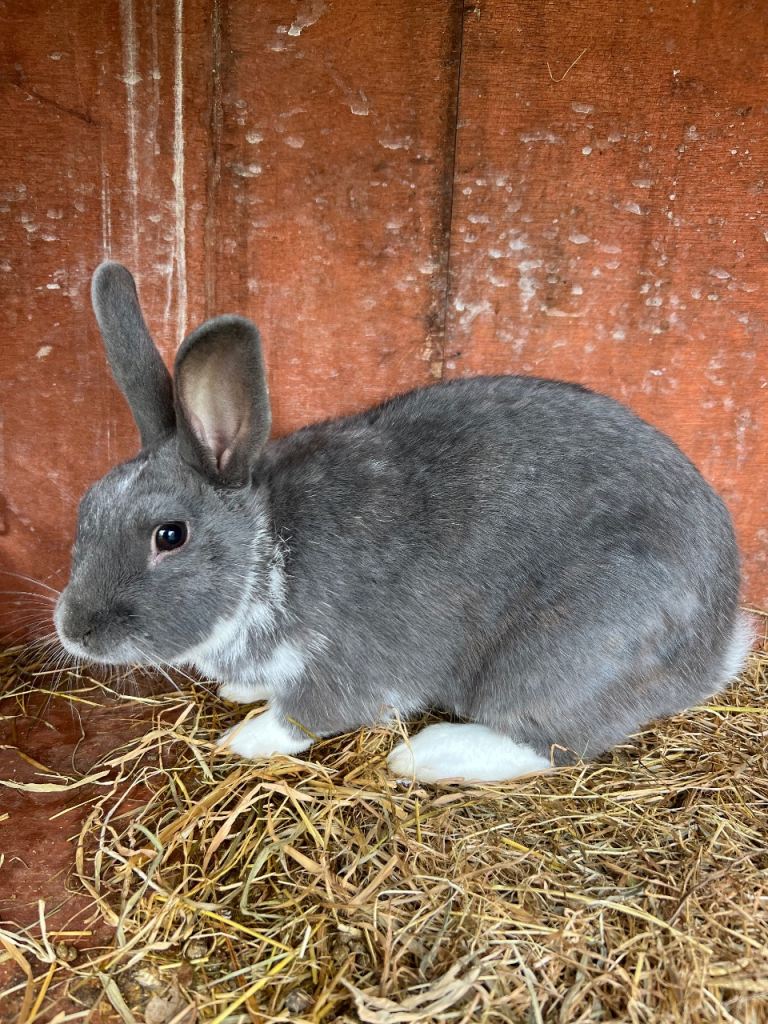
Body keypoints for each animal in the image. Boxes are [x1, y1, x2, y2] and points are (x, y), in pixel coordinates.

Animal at [53, 261, 753, 783]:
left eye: (169, 536)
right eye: (85, 509)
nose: (74, 630)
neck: (266, 549)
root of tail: (715, 650)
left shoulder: (341, 666)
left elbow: (301, 717)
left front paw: (242, 740)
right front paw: (238, 695)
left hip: (554, 660)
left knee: (551, 744)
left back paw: (423, 755)